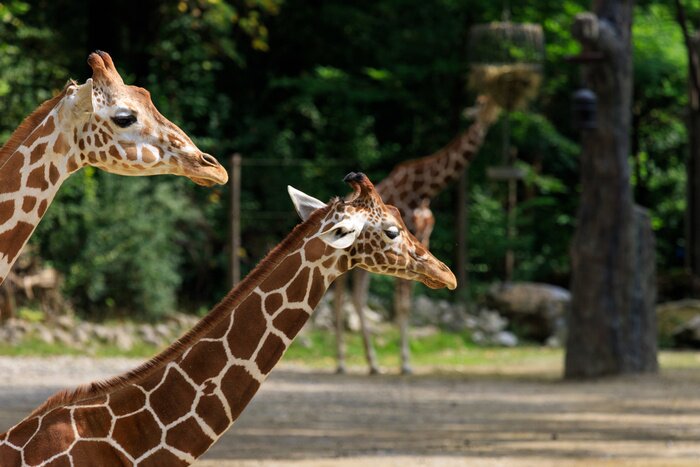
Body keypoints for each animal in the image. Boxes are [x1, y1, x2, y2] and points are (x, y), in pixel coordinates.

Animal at [334, 94, 501, 375]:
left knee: (357, 297)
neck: (424, 189)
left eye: (494, 106)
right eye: (480, 107)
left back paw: (372, 363)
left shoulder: (423, 237)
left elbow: (408, 304)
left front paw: (404, 359)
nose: (487, 122)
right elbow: (401, 304)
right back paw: (343, 363)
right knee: (340, 295)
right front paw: (405, 362)